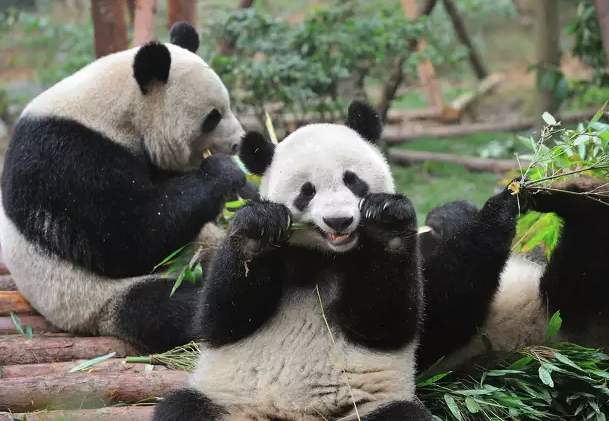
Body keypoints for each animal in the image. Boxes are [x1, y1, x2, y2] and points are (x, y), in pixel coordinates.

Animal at [0, 21, 247, 352]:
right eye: (212, 117)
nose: (238, 142)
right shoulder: (67, 157)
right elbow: (128, 237)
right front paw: (223, 173)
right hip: (93, 299)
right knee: (172, 305)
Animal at [414, 176, 608, 372]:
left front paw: (451, 214)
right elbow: (444, 308)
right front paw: (505, 200)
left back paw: (573, 192)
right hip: (558, 313)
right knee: (581, 266)